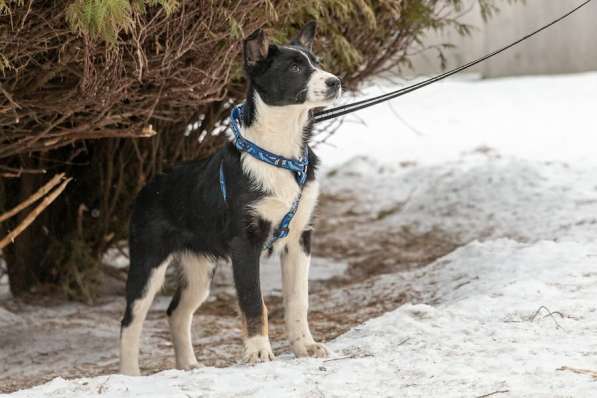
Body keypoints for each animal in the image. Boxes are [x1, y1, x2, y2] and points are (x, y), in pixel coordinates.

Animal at [117, 21, 340, 376]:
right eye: (294, 68)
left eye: (316, 62)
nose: (336, 82)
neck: (280, 155)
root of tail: (150, 184)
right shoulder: (245, 242)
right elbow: (253, 301)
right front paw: (259, 352)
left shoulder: (299, 237)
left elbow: (298, 299)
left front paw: (305, 346)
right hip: (148, 259)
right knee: (131, 321)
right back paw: (130, 375)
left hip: (198, 267)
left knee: (177, 311)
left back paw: (189, 365)